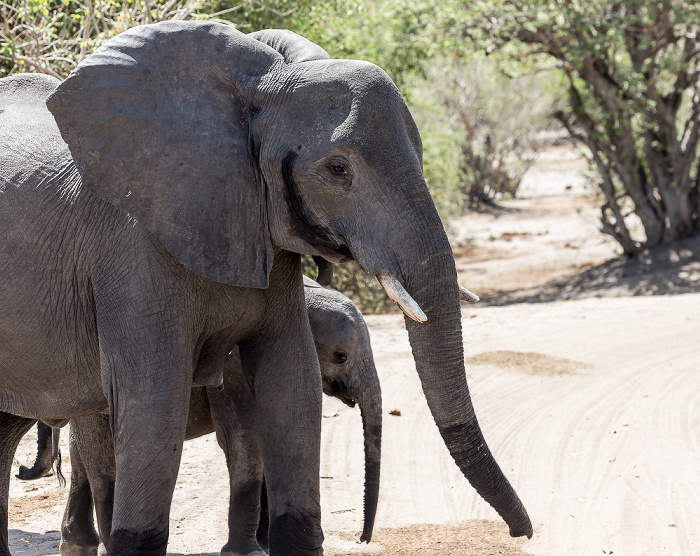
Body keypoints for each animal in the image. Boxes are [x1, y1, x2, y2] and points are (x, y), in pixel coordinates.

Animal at [0, 21, 532, 556]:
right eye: (337, 169)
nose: (522, 532)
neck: (257, 91)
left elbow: (291, 383)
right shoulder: (131, 247)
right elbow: (156, 404)